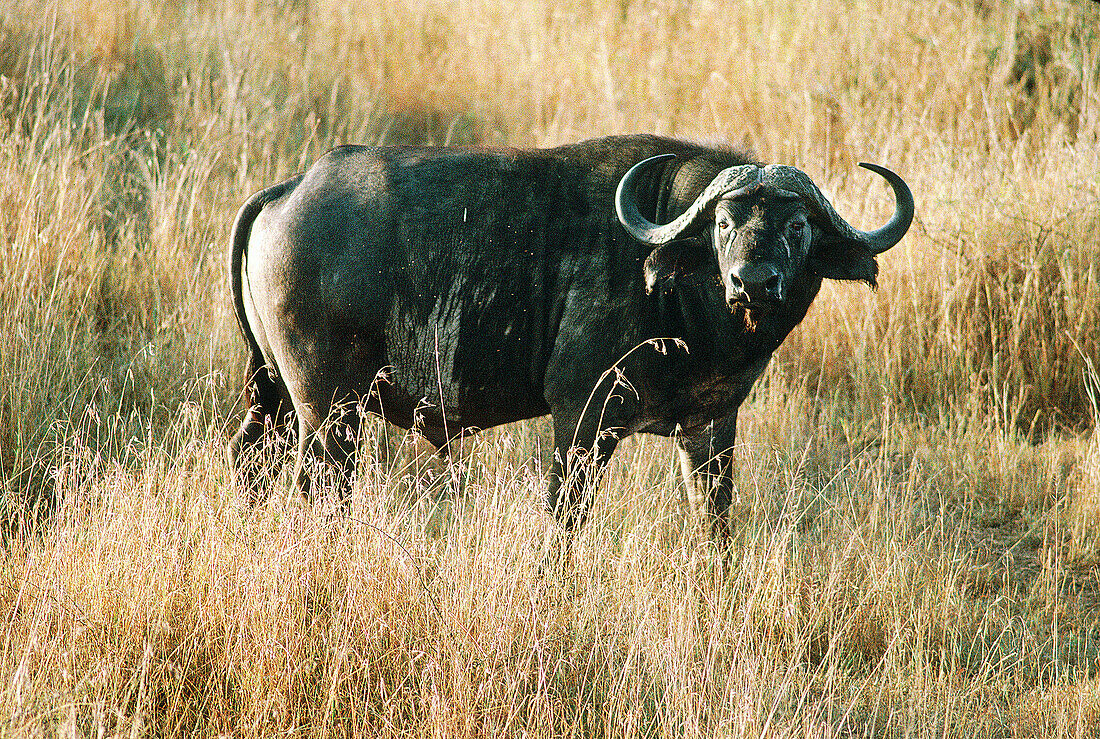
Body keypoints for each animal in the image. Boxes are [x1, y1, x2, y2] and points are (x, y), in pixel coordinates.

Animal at [225, 131, 910, 536]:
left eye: (798, 227)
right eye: (724, 224)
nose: (753, 282)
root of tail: (291, 189)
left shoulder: (711, 425)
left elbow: (714, 519)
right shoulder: (581, 414)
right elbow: (564, 516)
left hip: (273, 395)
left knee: (250, 463)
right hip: (327, 407)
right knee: (320, 485)